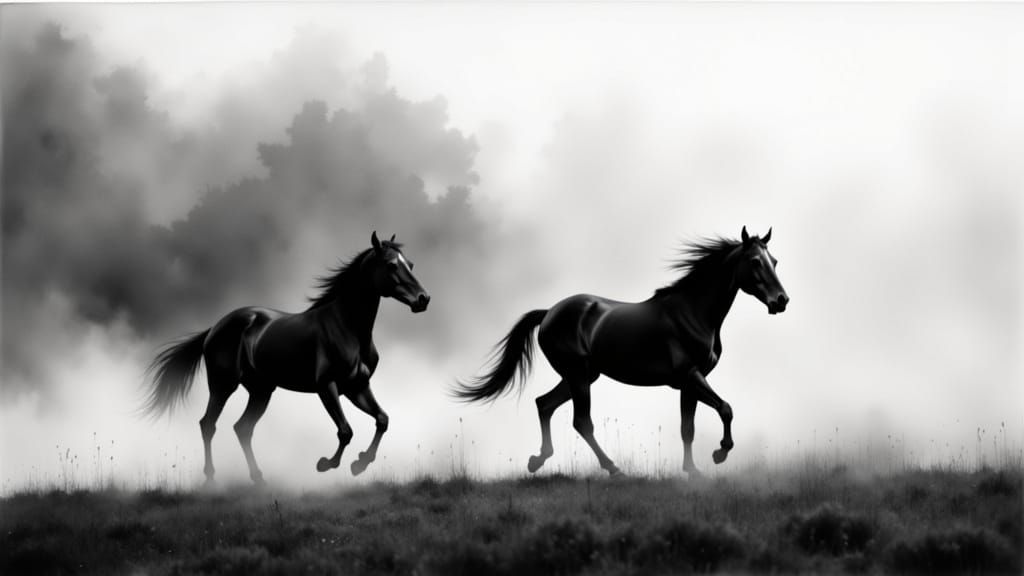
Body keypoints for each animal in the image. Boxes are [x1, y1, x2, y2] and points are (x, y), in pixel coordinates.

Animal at [142, 231, 430, 485]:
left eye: (411, 264)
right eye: (391, 265)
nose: (423, 299)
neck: (348, 327)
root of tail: (215, 327)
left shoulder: (356, 387)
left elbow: (382, 420)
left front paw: (359, 464)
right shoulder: (327, 386)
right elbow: (345, 430)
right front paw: (326, 464)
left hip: (261, 391)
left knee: (242, 428)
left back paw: (259, 479)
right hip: (223, 385)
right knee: (208, 424)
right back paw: (211, 479)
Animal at [456, 227, 788, 477]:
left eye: (774, 260)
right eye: (755, 261)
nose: (781, 301)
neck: (691, 312)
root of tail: (549, 312)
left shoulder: (689, 383)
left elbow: (688, 428)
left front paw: (693, 470)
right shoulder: (691, 376)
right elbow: (725, 408)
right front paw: (720, 453)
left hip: (581, 376)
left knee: (544, 404)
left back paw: (538, 460)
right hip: (579, 376)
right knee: (581, 422)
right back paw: (613, 468)